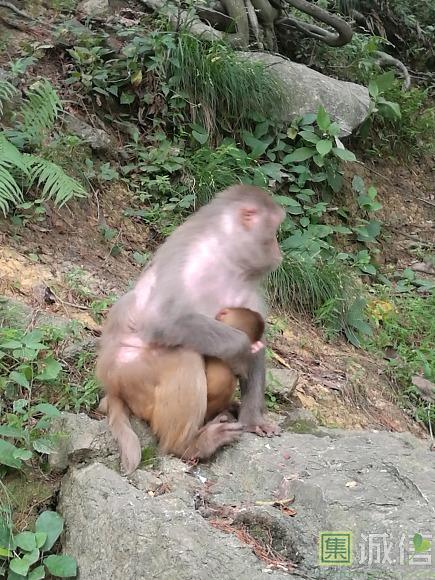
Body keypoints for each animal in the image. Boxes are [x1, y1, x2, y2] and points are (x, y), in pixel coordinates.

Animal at [96, 184, 285, 474]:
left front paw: (253, 419)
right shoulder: (187, 260)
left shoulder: (247, 288)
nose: (278, 251)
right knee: (184, 356)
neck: (224, 256)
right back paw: (189, 445)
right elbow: (160, 319)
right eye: (274, 231)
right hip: (129, 373)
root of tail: (111, 384)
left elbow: (258, 343)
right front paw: (240, 349)